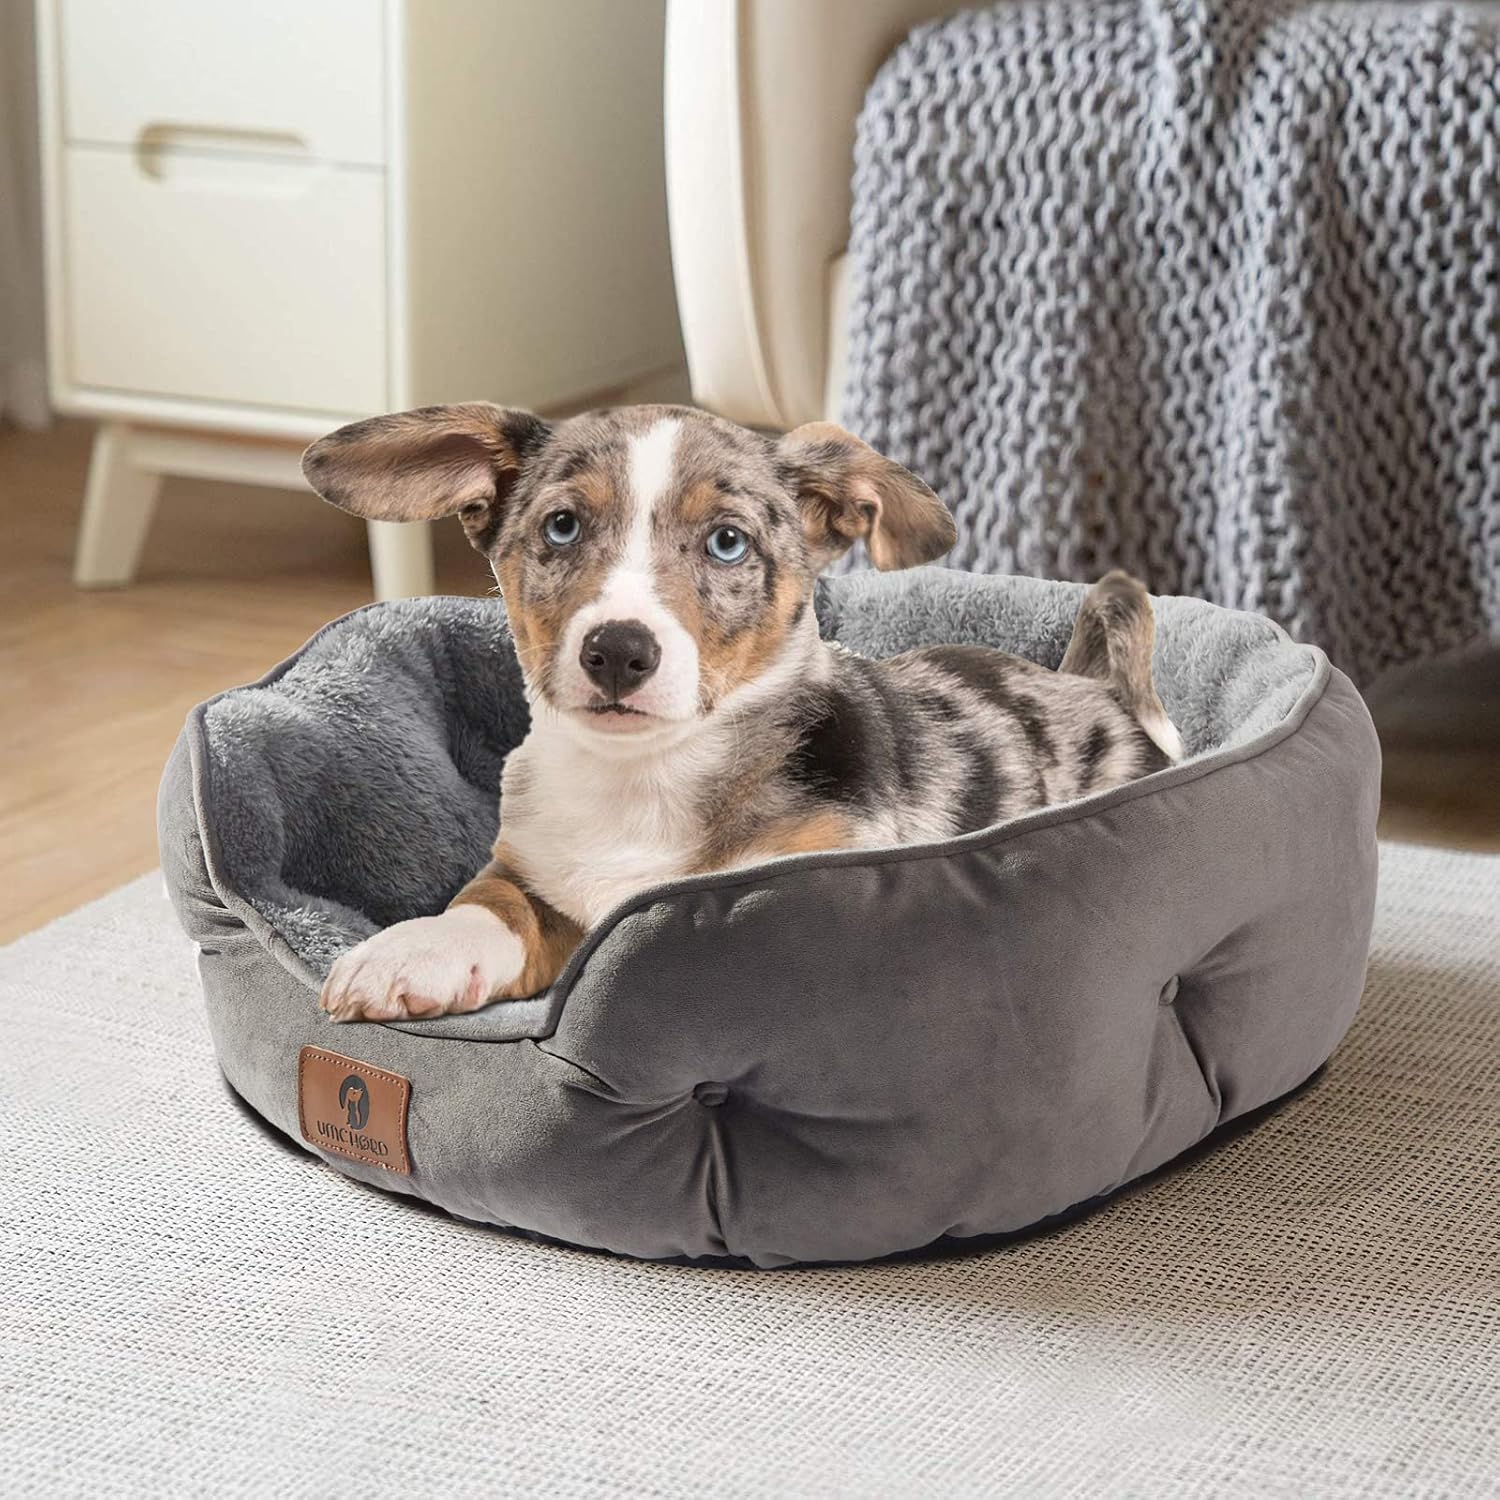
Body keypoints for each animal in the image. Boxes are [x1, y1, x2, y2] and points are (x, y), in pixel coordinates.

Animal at [298, 405, 1176, 1026]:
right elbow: (489, 904)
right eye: (562, 526)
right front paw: (412, 950)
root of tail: (1097, 687)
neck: (647, 778)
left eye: (727, 543)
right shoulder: (531, 871)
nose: (618, 651)